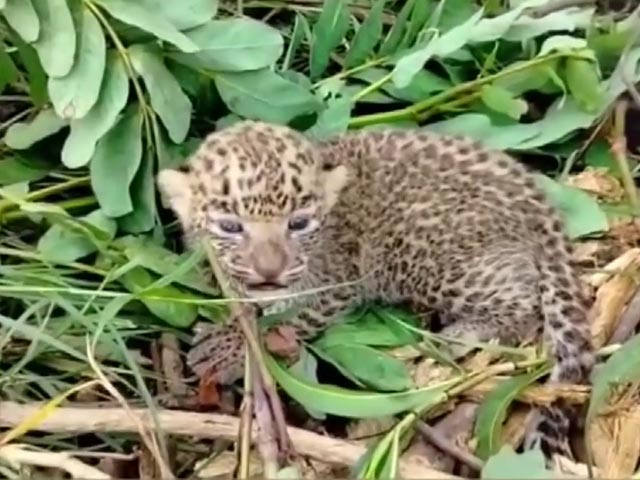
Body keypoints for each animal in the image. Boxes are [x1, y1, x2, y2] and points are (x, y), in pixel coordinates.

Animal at [157, 120, 594, 462]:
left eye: (298, 223)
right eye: (230, 227)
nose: (269, 272)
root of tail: (538, 203)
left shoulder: (335, 284)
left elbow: (288, 319)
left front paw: (224, 348)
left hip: (426, 255)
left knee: (523, 299)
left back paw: (459, 334)